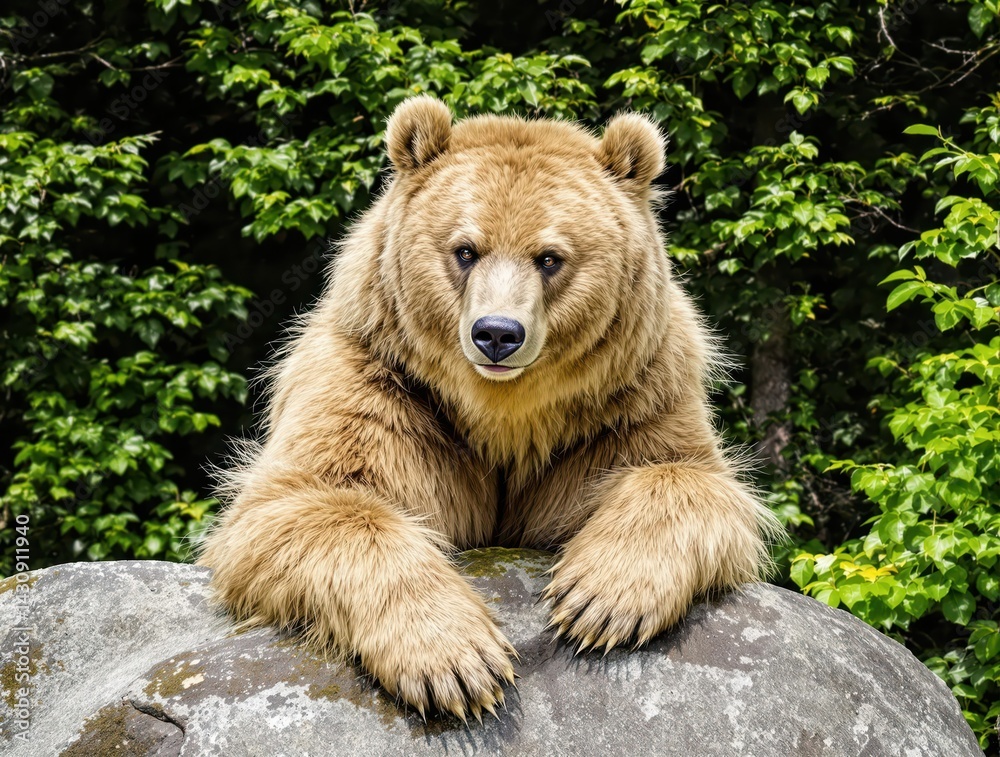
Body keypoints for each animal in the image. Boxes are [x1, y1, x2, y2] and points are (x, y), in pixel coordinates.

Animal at [198, 96, 780, 721]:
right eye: (465, 250)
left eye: (549, 257)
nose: (497, 333)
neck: (502, 412)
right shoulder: (383, 389)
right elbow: (303, 504)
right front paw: (455, 661)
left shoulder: (628, 402)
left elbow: (690, 477)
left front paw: (597, 599)